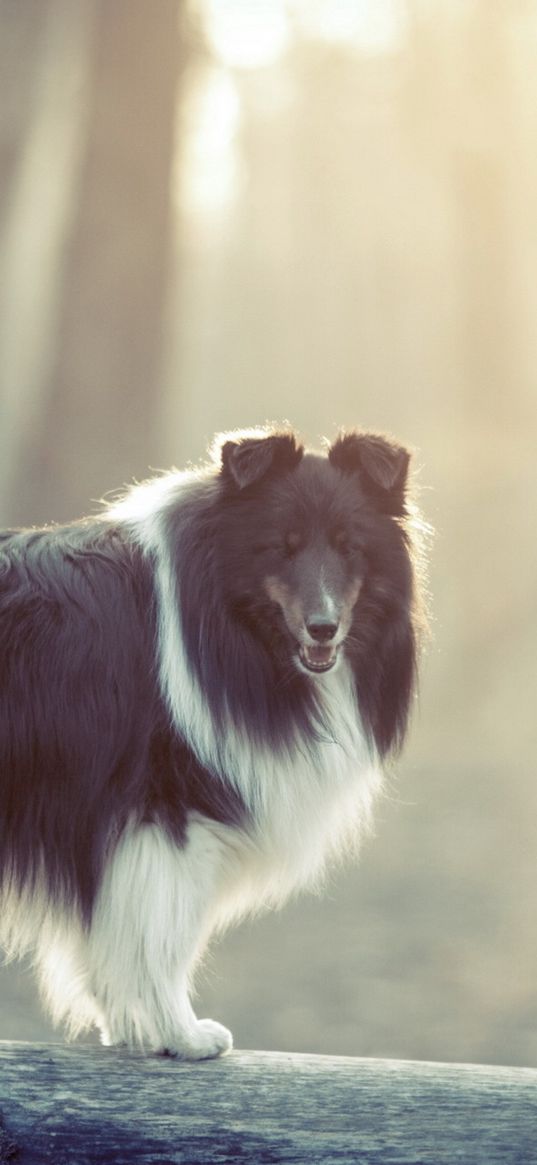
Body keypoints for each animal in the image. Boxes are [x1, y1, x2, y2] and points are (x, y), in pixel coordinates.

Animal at [1, 426, 426, 1057]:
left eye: (350, 546)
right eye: (281, 546)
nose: (324, 628)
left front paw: (133, 1031)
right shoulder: (165, 811)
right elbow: (161, 938)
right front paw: (181, 1034)